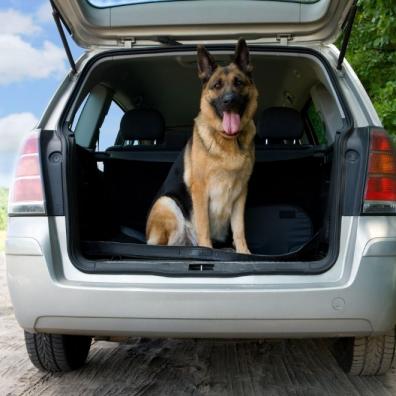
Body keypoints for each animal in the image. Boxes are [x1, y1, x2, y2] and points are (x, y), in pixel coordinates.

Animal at [147, 38, 258, 252]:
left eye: (238, 82)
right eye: (217, 85)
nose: (229, 101)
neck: (227, 140)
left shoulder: (241, 194)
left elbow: (239, 229)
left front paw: (244, 252)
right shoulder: (200, 191)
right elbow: (204, 226)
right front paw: (206, 251)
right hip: (168, 204)